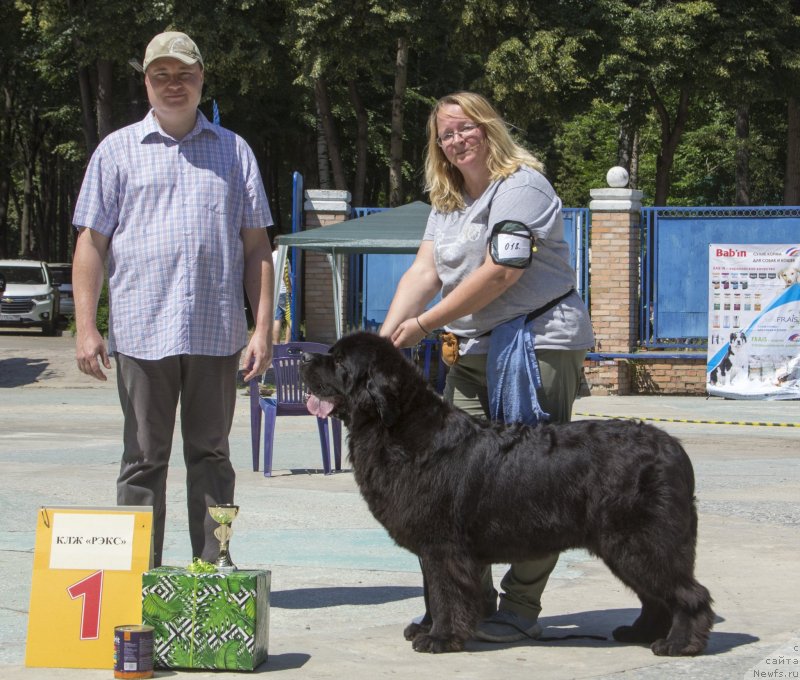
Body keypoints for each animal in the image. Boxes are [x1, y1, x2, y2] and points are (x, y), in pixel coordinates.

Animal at [300, 332, 712, 656]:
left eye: (339, 361)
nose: (303, 358)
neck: (397, 428)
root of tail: (673, 449)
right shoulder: (431, 547)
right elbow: (430, 590)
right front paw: (427, 627)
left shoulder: (443, 546)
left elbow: (444, 591)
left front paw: (440, 638)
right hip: (625, 546)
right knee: (655, 596)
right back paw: (640, 632)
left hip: (639, 542)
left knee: (687, 594)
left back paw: (679, 644)